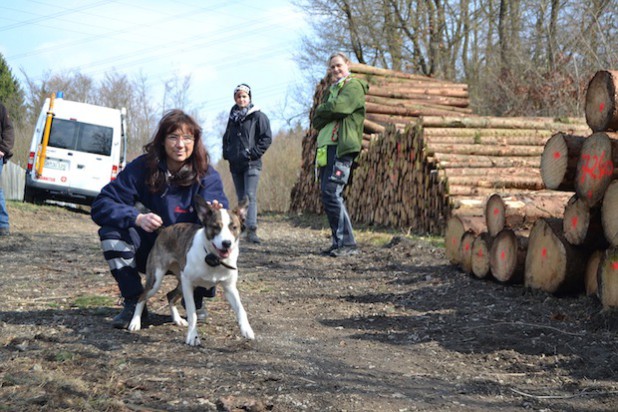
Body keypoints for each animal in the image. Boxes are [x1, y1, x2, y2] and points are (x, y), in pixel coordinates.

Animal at [126, 195, 254, 346]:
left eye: (234, 227)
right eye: (215, 227)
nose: (226, 243)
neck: (212, 258)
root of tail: (164, 229)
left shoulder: (230, 288)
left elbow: (241, 309)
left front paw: (246, 329)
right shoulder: (188, 286)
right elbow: (192, 314)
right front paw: (193, 337)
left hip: (180, 282)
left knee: (170, 295)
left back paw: (177, 320)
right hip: (156, 280)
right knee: (142, 296)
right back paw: (135, 322)